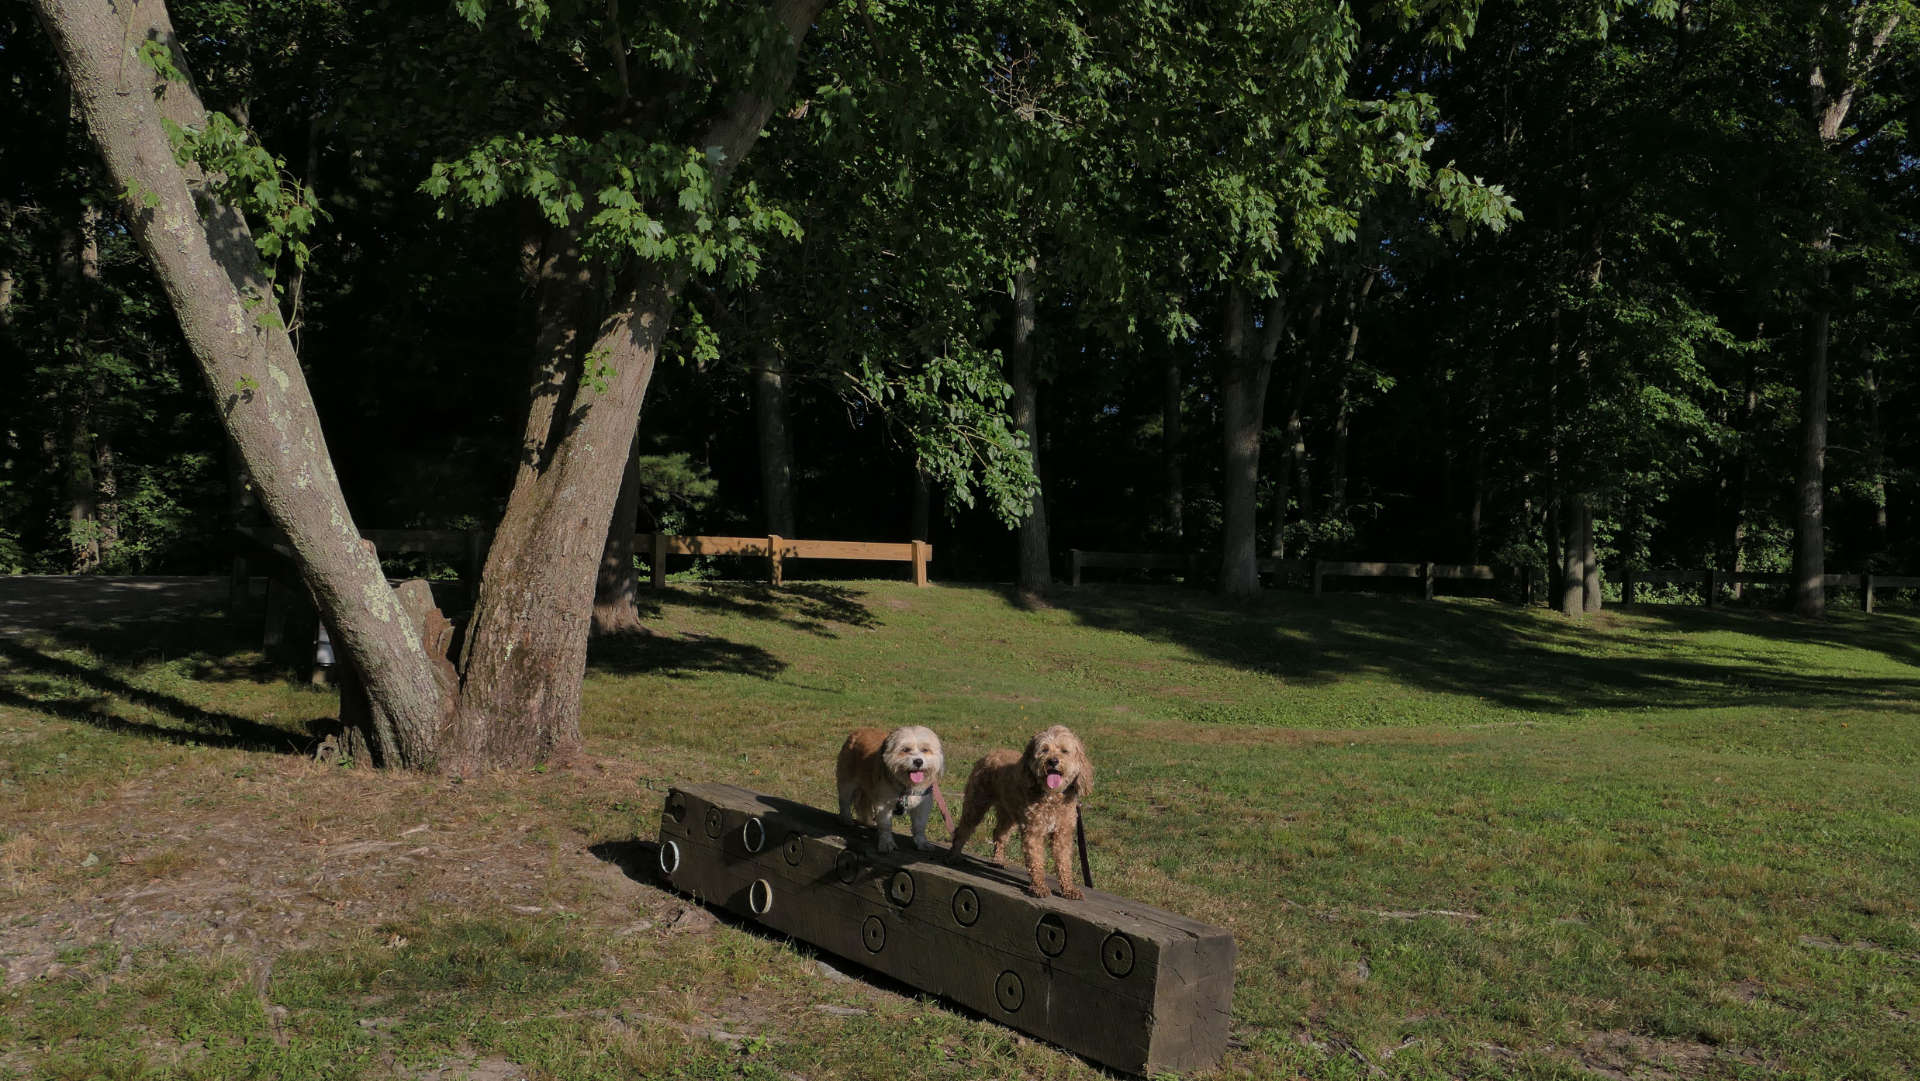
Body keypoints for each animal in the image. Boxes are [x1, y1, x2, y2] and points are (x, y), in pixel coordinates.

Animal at [948, 725, 1098, 906]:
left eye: (1064, 750)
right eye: (1044, 749)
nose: (1053, 761)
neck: (1051, 796)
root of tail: (989, 754)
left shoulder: (1062, 834)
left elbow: (1064, 863)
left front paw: (1069, 889)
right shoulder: (1033, 831)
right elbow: (1036, 861)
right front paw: (1039, 886)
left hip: (1009, 813)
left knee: (999, 833)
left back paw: (998, 860)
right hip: (976, 804)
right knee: (963, 830)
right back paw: (954, 855)